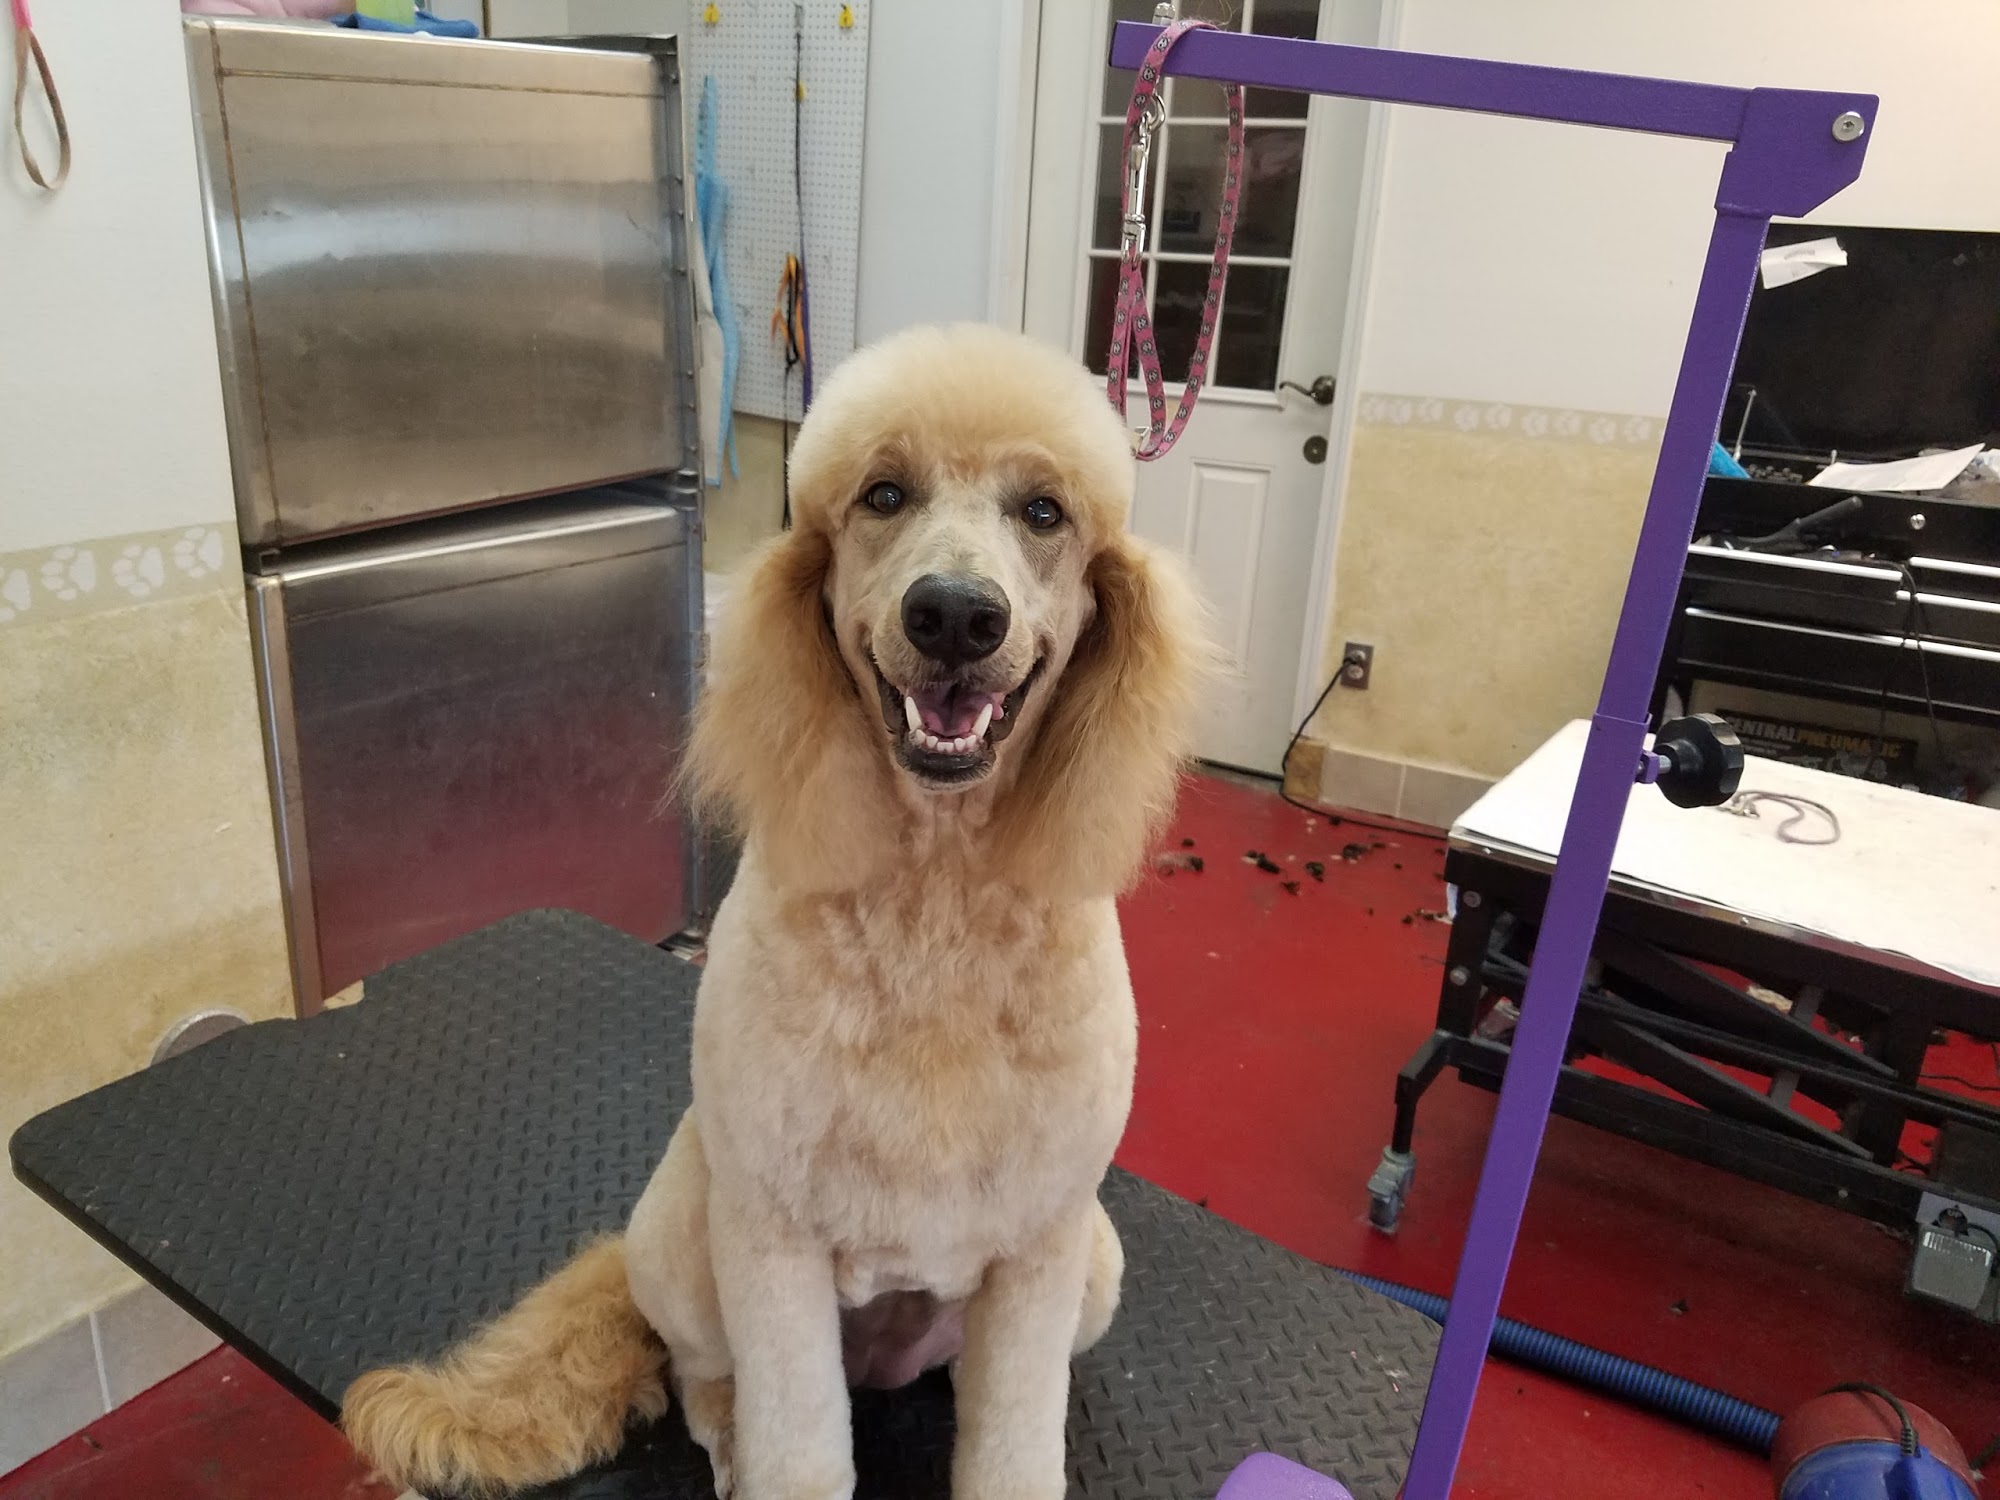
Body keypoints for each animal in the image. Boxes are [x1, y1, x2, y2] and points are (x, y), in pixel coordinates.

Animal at [340, 324, 1208, 1500]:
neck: (933, 896)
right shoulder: (772, 1236)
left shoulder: (1041, 1243)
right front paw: (766, 1452)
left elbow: (1011, 1446)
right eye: (883, 494)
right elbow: (798, 1445)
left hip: (1094, 1271)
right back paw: (726, 1435)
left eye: (1042, 512)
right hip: (683, 1231)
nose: (952, 614)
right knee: (704, 1374)